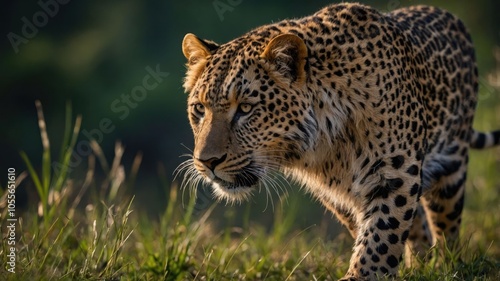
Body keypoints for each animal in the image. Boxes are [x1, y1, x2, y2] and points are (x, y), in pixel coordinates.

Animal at [180, 2, 500, 280]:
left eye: (246, 108)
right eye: (200, 109)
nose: (207, 162)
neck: (324, 140)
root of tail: (452, 18)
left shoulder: (395, 171)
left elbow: (383, 231)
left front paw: (363, 275)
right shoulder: (337, 193)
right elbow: (375, 228)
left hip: (452, 167)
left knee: (447, 223)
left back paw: (446, 264)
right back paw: (420, 264)